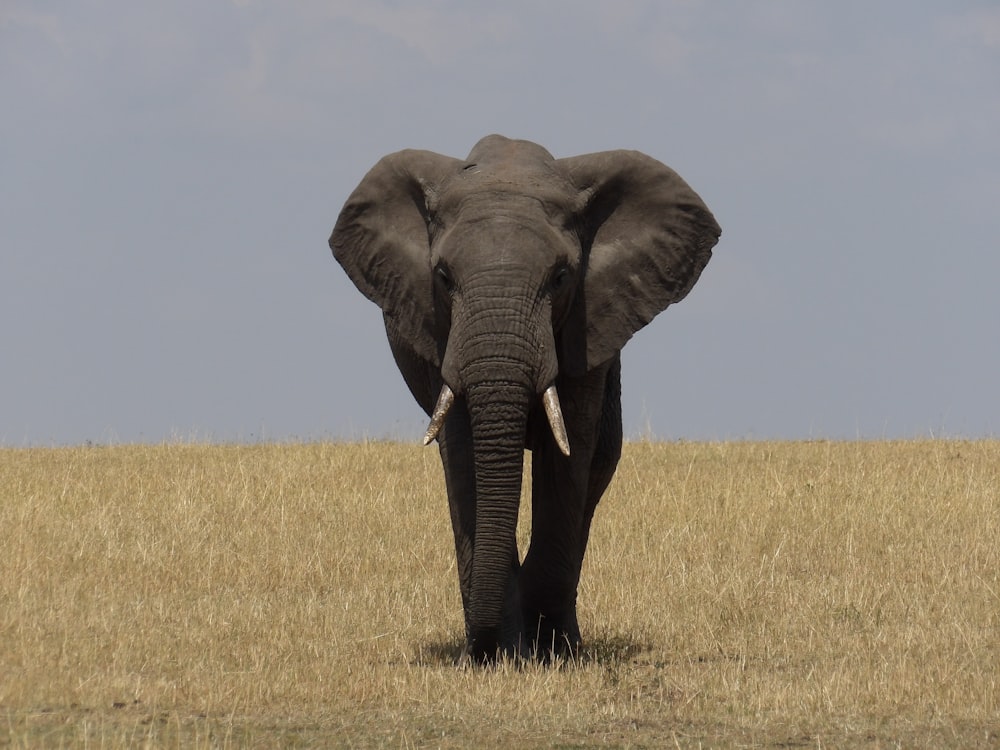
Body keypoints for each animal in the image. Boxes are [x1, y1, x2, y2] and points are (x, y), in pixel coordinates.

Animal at [332, 135, 724, 664]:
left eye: (560, 277)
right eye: (443, 277)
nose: (476, 651)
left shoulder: (586, 325)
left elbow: (568, 455)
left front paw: (552, 654)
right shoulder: (441, 333)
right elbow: (464, 454)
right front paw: (503, 655)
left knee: (599, 466)